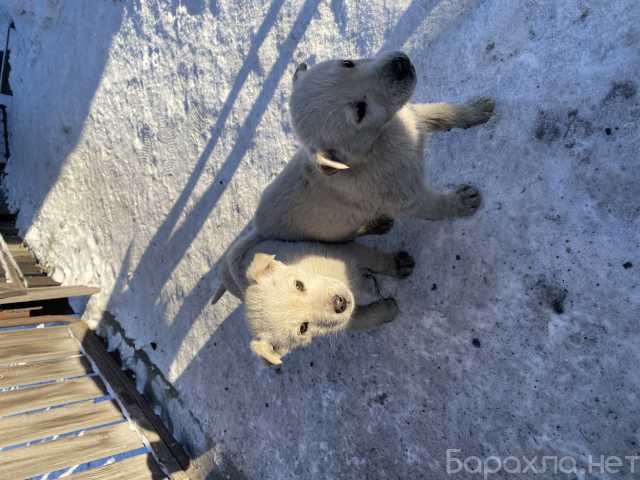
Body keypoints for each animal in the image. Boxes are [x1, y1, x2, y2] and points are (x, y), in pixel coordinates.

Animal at [215, 232, 416, 364]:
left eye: (299, 284)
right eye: (303, 328)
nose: (340, 303)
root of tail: (224, 272)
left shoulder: (346, 252)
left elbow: (377, 259)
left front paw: (399, 264)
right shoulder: (344, 322)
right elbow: (365, 318)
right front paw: (388, 310)